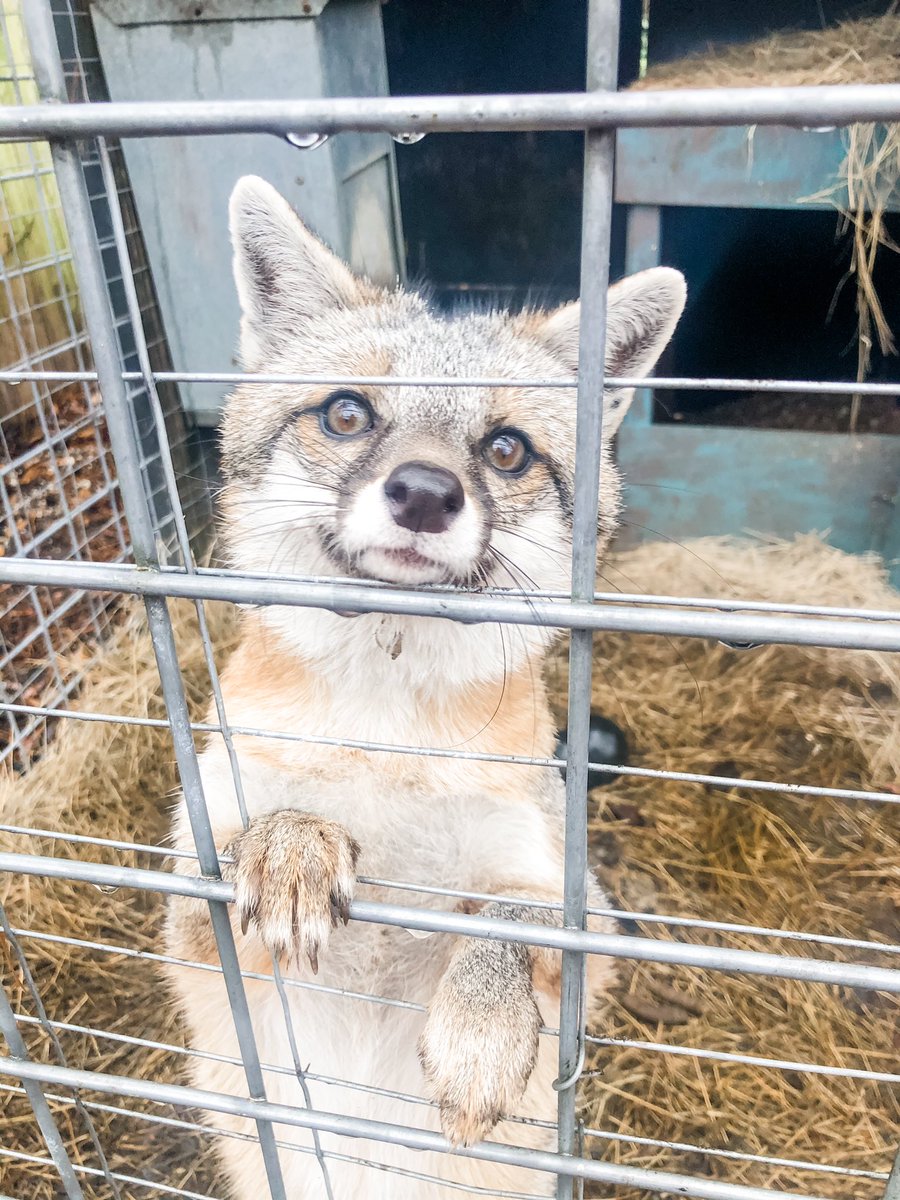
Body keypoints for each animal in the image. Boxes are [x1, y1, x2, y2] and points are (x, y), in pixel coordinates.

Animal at [164, 175, 686, 1199]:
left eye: (507, 449)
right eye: (348, 414)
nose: (424, 493)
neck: (385, 741)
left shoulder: (584, 918)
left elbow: (515, 921)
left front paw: (480, 1036)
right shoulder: (189, 920)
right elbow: (252, 838)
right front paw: (290, 844)